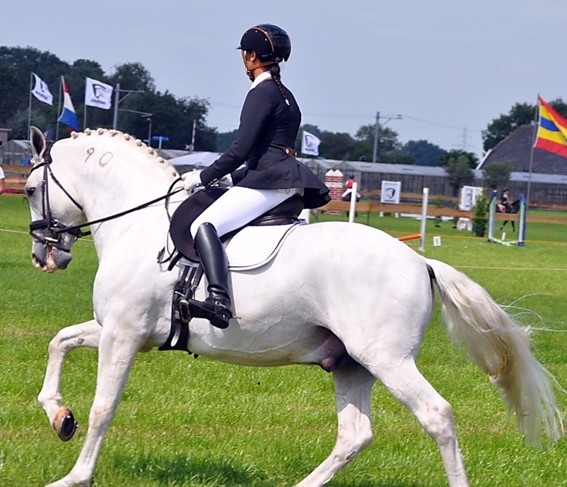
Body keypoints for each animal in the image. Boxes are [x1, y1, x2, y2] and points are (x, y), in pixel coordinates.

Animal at [25, 127, 564, 486]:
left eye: (30, 189)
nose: (44, 256)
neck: (137, 224)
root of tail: (420, 261)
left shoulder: (123, 333)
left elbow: (103, 407)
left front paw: (73, 475)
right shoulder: (122, 329)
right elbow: (59, 342)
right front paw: (59, 416)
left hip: (387, 359)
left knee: (437, 415)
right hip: (351, 362)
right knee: (354, 435)